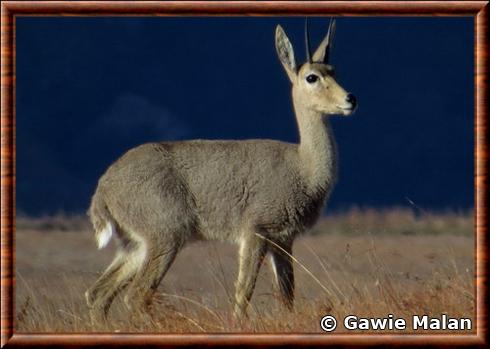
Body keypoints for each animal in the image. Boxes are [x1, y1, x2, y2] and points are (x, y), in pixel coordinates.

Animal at [85, 18, 356, 318]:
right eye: (312, 77)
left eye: (334, 70)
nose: (350, 99)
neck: (303, 167)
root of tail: (104, 187)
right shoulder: (255, 232)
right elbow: (242, 295)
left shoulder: (284, 241)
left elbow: (287, 298)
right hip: (165, 239)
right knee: (136, 296)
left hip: (133, 246)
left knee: (98, 294)